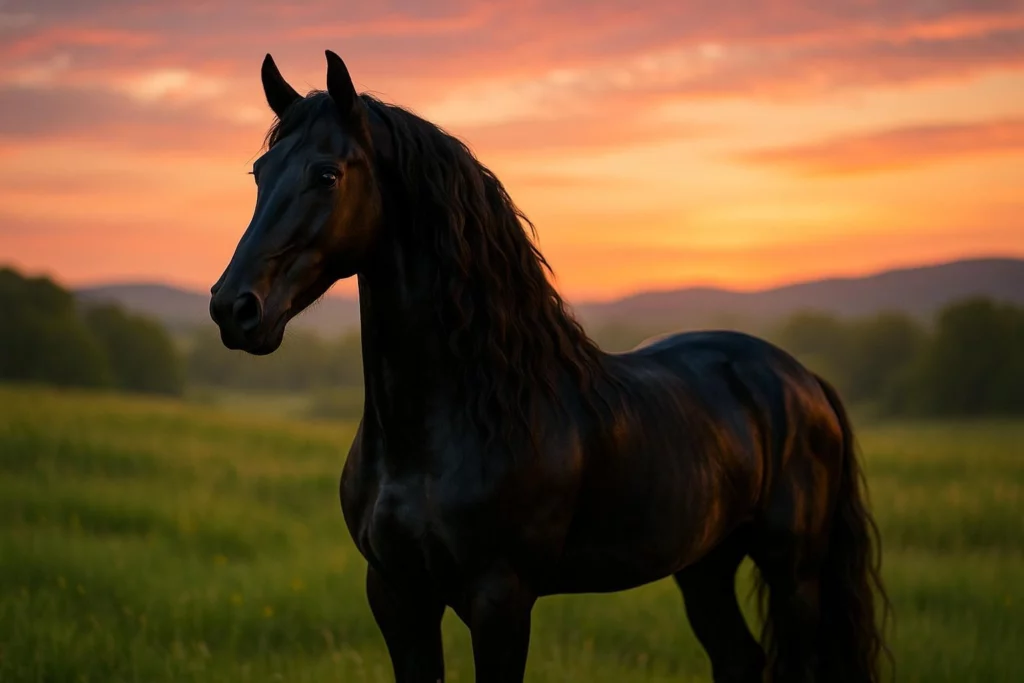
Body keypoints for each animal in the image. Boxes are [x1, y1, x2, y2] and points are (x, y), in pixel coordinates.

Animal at [209, 50, 890, 683]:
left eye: (326, 174)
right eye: (259, 173)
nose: (233, 308)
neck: (453, 422)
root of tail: (803, 381)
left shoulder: (500, 601)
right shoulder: (397, 596)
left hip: (794, 574)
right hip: (705, 566)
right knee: (738, 659)